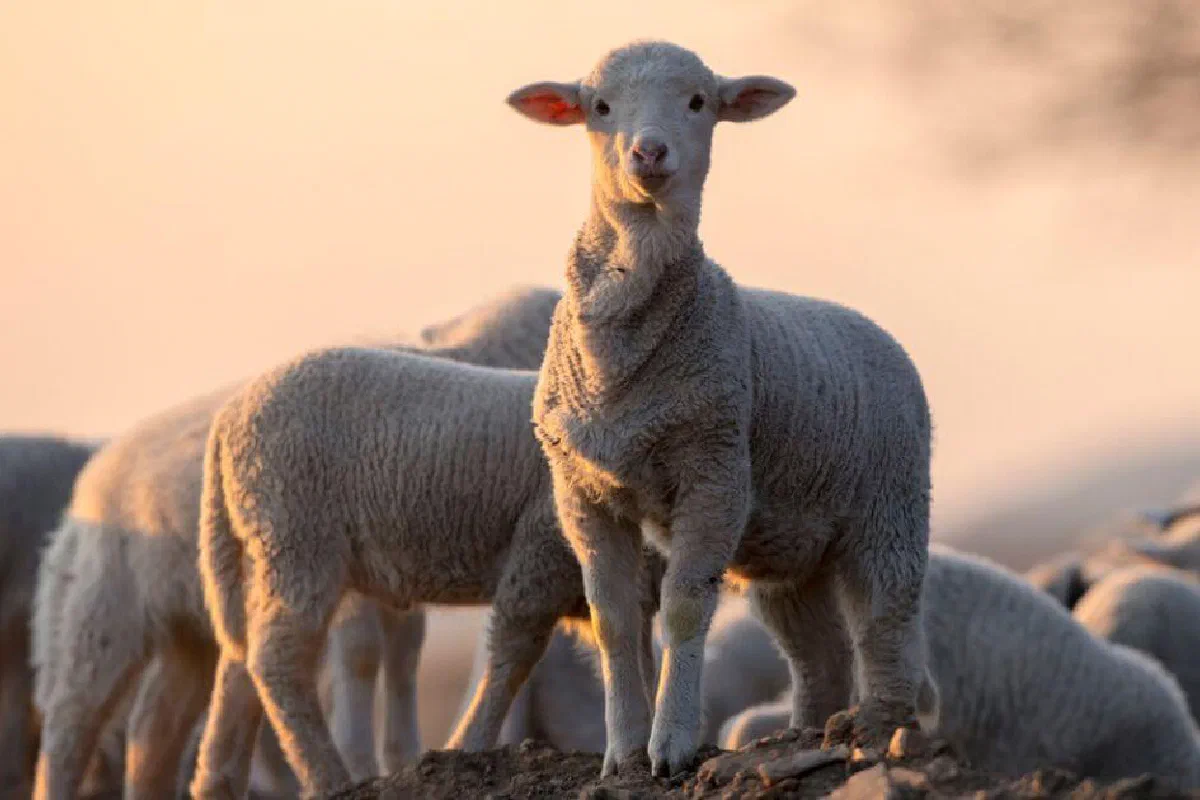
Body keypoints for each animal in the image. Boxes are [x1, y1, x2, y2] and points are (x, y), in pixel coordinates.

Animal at [31, 286, 563, 800]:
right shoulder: (363, 571)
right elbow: (363, 655)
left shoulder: (399, 565)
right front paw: (363, 762)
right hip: (105, 604)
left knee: (155, 724)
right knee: (72, 718)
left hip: (193, 625)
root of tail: (94, 475)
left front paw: (405, 755)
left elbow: (405, 656)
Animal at [188, 347, 666, 800]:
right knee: (276, 659)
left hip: (264, 547)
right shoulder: (539, 552)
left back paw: (218, 783)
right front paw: (467, 745)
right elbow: (513, 654)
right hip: (297, 536)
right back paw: (328, 777)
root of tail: (227, 421)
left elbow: (639, 656)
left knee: (239, 659)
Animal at [508, 40, 933, 776]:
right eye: (599, 107)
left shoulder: (713, 471)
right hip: (791, 548)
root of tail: (872, 327)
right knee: (817, 652)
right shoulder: (582, 490)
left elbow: (683, 609)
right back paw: (805, 733)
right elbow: (612, 620)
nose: (649, 152)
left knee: (886, 620)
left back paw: (880, 729)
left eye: (698, 101)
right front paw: (621, 752)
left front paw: (671, 745)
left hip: (892, 503)